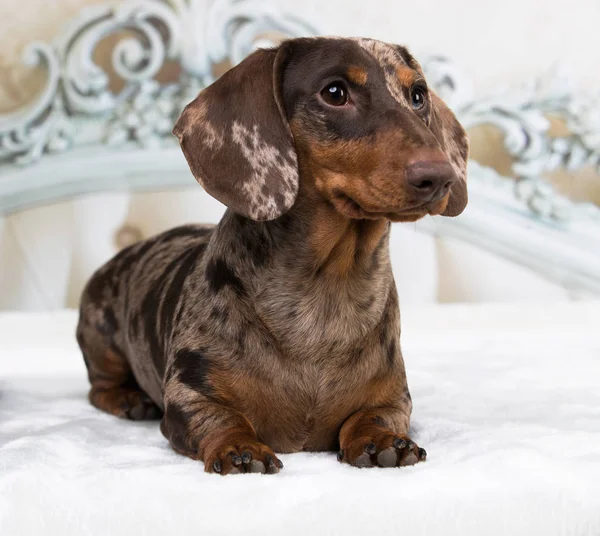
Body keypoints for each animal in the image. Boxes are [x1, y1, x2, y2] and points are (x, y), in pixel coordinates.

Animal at [76, 36, 468, 474]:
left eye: (418, 95)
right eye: (335, 92)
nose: (441, 176)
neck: (325, 293)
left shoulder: (393, 397)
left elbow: (374, 415)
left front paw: (382, 440)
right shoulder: (189, 396)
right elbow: (222, 418)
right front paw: (239, 447)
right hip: (101, 338)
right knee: (98, 387)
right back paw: (128, 399)